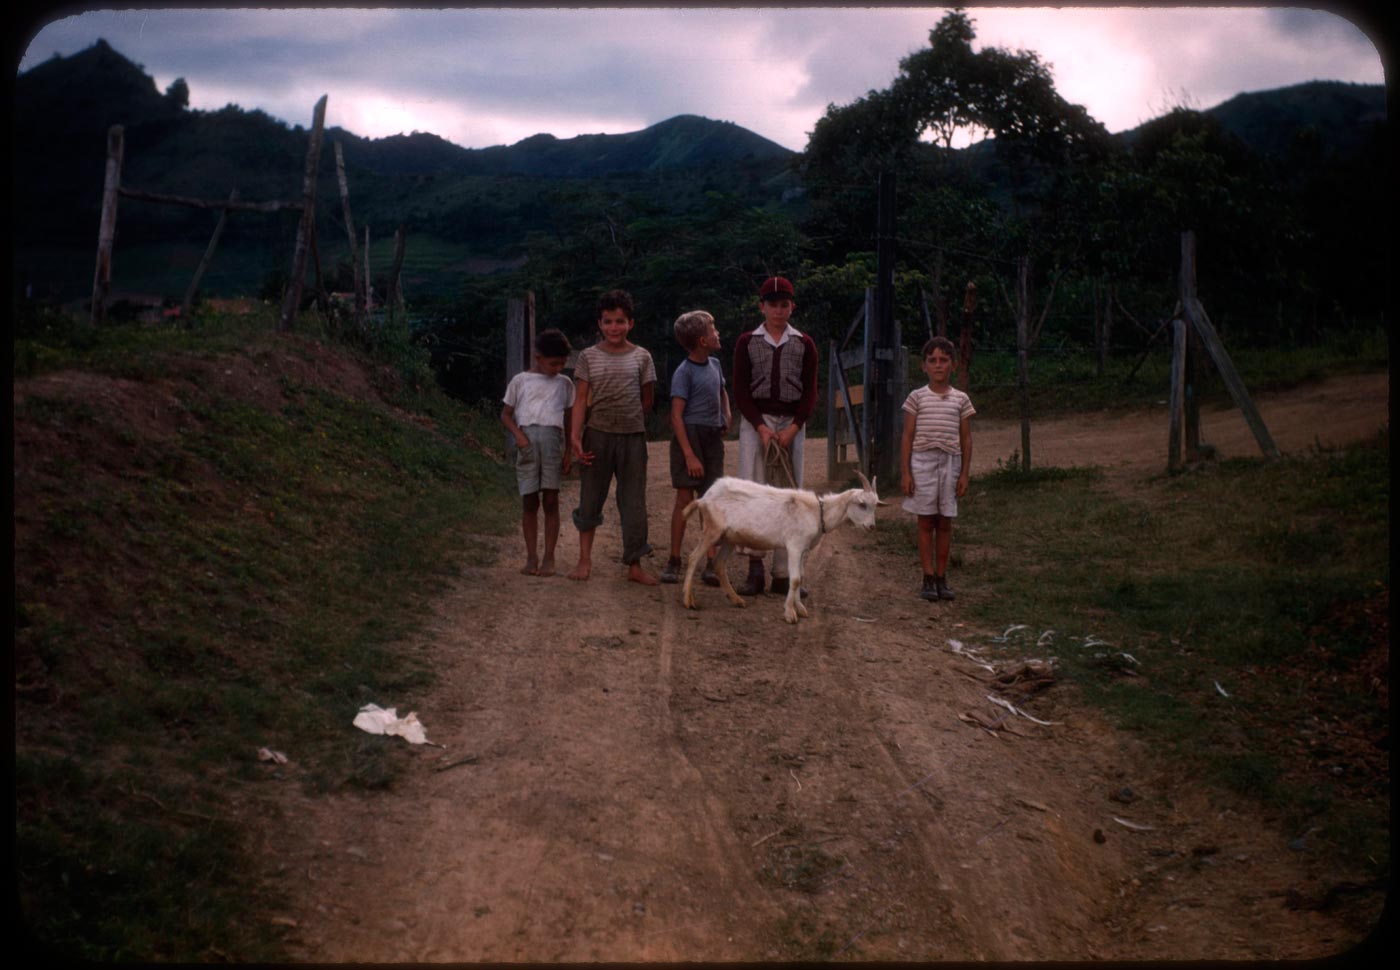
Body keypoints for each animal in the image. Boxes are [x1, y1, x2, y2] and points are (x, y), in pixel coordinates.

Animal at [680, 473, 884, 624]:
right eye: (862, 504)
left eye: (875, 505)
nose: (871, 527)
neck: (818, 512)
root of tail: (704, 497)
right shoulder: (794, 546)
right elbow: (794, 579)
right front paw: (790, 614)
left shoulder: (803, 549)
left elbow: (801, 577)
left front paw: (800, 609)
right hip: (712, 530)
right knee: (693, 557)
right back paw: (688, 600)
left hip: (730, 537)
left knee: (719, 563)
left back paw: (737, 600)